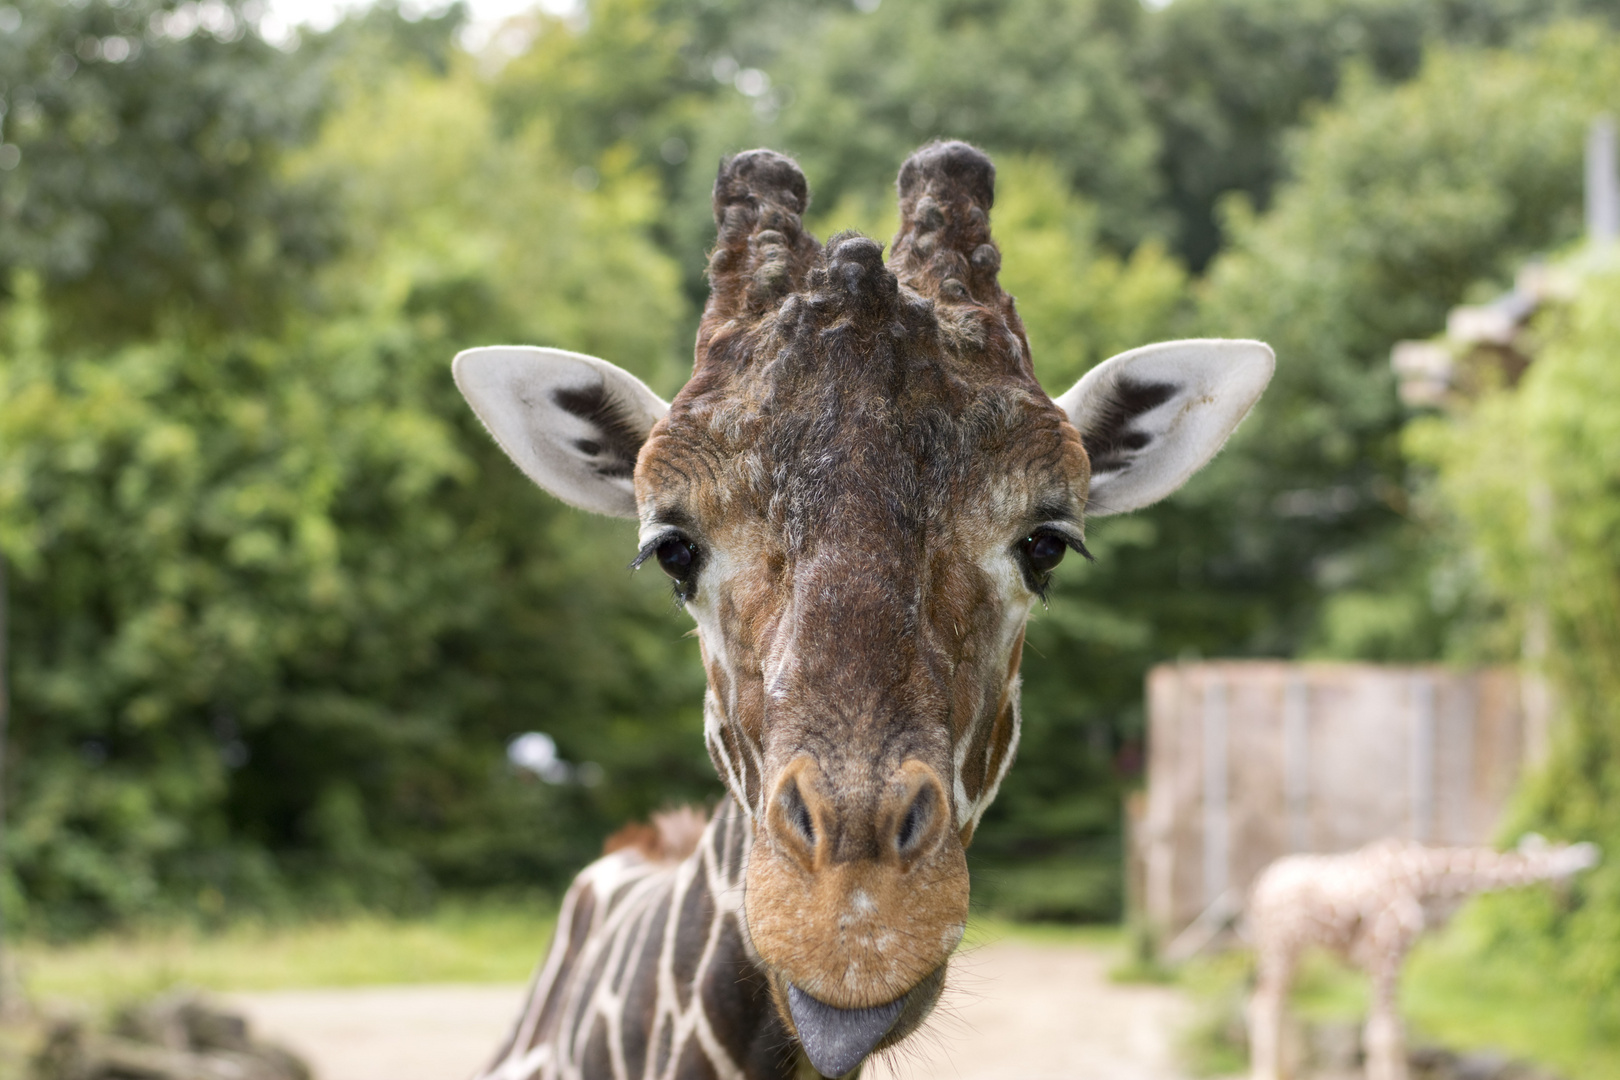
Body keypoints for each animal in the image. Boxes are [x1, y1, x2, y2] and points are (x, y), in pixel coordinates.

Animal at [1244, 835, 1600, 1080]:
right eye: (1567, 872)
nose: (1569, 902)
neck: (1421, 878)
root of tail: (1259, 887)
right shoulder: (1385, 953)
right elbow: (1384, 1034)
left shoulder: (1395, 960)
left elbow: (1395, 1032)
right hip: (1280, 946)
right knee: (1263, 1004)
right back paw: (1267, 1074)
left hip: (1297, 953)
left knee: (1281, 1003)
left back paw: (1287, 1071)